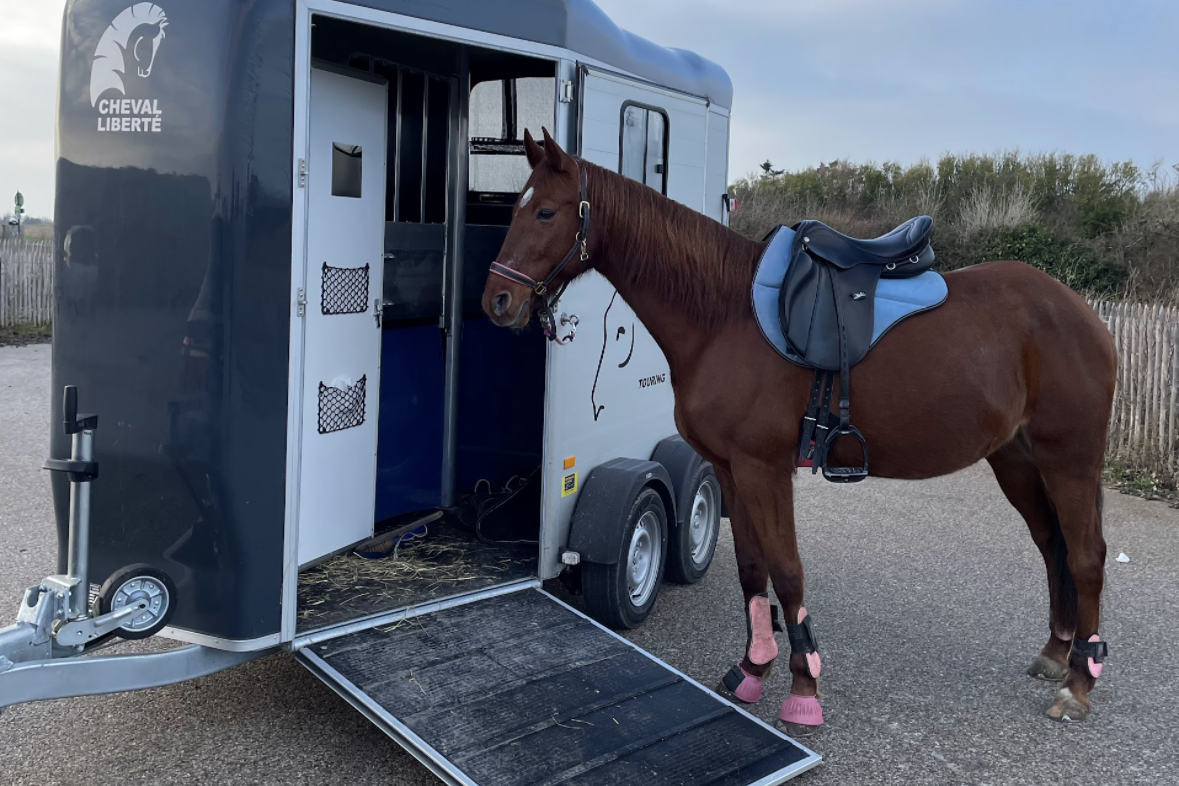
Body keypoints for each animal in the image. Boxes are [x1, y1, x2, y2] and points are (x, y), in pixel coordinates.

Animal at [482, 128, 1117, 731]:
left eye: (546, 212)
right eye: (518, 206)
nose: (497, 300)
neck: (723, 315)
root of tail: (1082, 312)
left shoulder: (764, 469)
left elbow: (788, 573)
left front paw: (804, 688)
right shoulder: (731, 469)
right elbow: (752, 568)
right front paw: (753, 668)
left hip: (1070, 460)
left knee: (1087, 556)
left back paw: (1079, 684)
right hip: (1017, 461)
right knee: (1053, 545)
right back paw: (1057, 652)